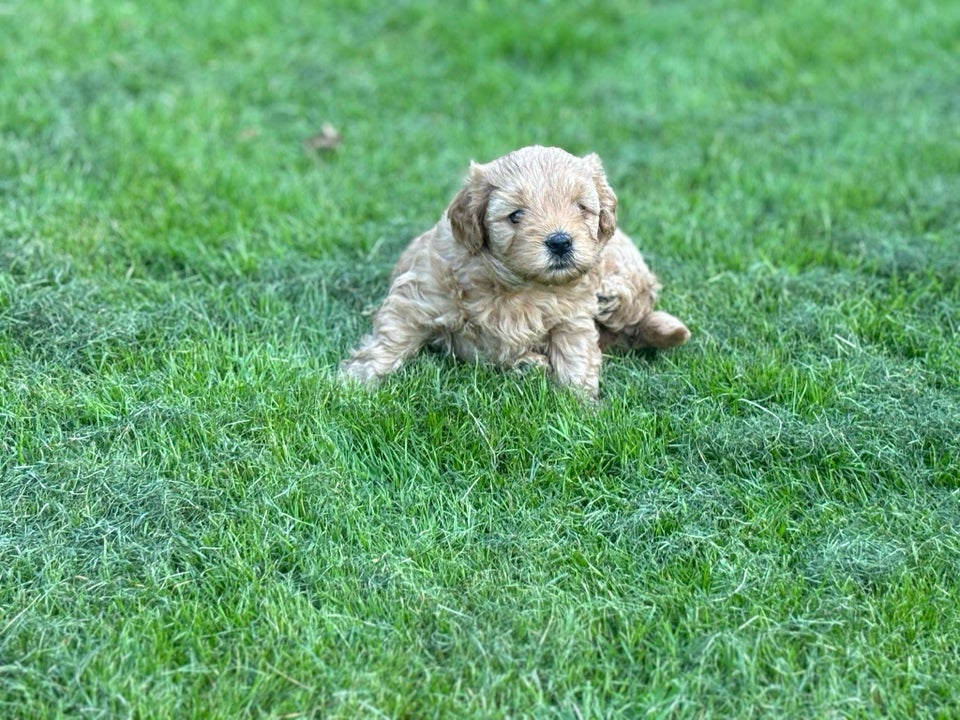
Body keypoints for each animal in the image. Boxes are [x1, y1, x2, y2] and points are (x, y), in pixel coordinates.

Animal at [342, 143, 688, 396]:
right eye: (516, 215)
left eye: (581, 207)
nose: (560, 242)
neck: (522, 285)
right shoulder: (421, 294)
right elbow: (391, 338)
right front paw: (354, 381)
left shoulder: (572, 317)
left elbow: (575, 354)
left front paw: (580, 405)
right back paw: (528, 364)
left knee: (641, 296)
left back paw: (615, 300)